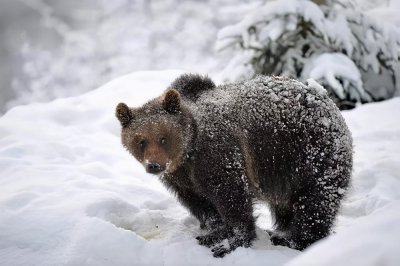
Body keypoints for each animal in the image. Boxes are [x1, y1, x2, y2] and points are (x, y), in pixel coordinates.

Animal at [115, 74, 354, 256]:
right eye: (140, 140)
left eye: (163, 138)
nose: (154, 165)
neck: (187, 155)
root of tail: (327, 100)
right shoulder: (182, 179)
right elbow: (201, 204)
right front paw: (214, 232)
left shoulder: (218, 154)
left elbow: (231, 198)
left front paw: (230, 243)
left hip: (308, 151)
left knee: (315, 201)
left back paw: (295, 240)